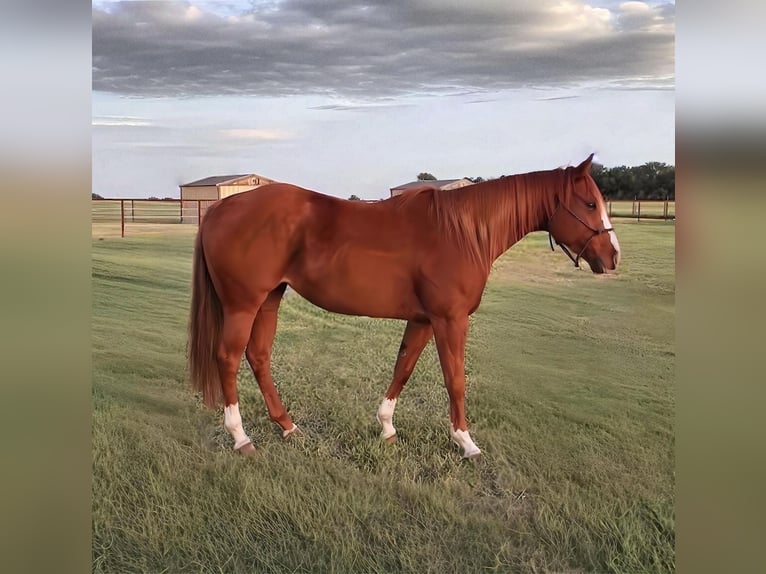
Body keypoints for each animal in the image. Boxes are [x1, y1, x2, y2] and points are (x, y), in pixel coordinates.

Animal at [188, 154, 620, 458]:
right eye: (588, 204)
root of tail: (221, 208)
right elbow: (455, 379)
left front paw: (387, 428)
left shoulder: (424, 320)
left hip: (270, 300)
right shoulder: (450, 320)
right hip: (243, 304)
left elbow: (404, 367)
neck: (462, 233)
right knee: (229, 358)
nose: (613, 256)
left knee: (259, 357)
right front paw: (466, 442)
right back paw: (241, 437)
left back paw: (288, 427)